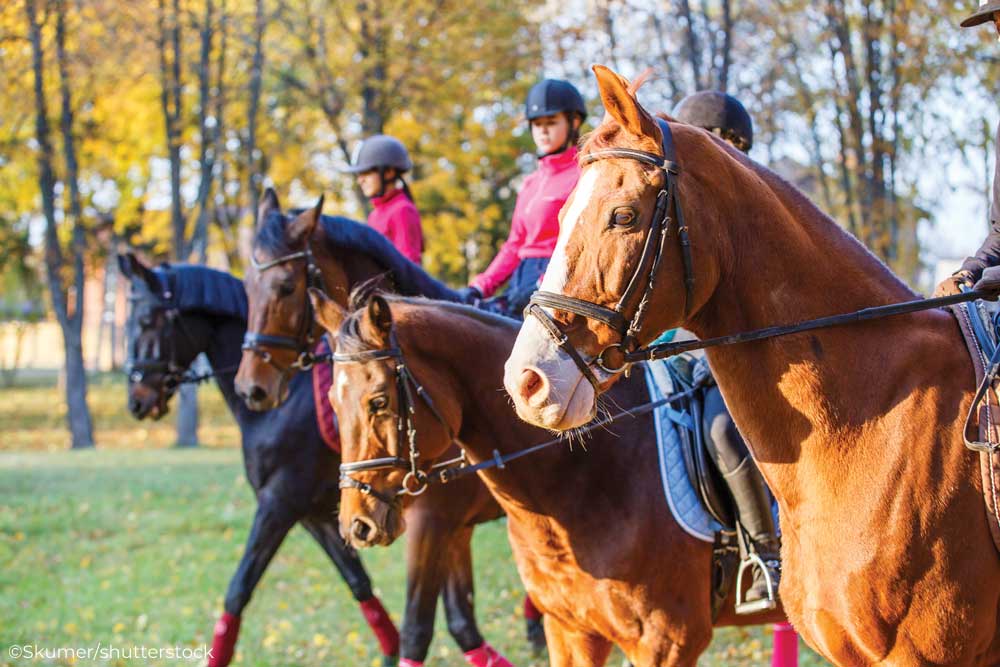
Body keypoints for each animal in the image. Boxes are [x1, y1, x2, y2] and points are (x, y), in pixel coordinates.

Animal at [122, 258, 504, 667]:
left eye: (145, 320)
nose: (137, 401)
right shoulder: (319, 516)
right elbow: (360, 584)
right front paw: (388, 648)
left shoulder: (280, 503)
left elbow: (238, 589)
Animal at [232, 189, 532, 667]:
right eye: (246, 287)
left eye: (285, 287)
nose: (251, 387)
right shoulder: (446, 525)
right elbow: (458, 619)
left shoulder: (432, 522)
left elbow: (420, 627)